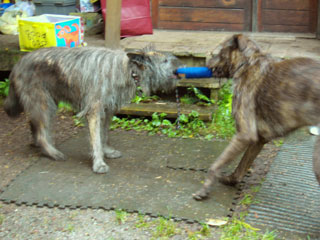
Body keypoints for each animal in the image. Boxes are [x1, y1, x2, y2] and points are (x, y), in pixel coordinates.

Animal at [5, 45, 181, 172]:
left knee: (34, 125)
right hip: (44, 104)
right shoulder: (94, 112)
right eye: (165, 61)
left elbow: (104, 135)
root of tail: (17, 64)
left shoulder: (107, 111)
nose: (181, 65)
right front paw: (99, 163)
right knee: (42, 133)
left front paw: (107, 151)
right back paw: (52, 152)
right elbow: (96, 139)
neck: (127, 69)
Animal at [194, 32, 320, 200]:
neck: (247, 63)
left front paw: (205, 188)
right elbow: (242, 166)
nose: (206, 63)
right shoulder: (259, 139)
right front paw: (230, 179)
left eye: (219, 51)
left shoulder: (244, 135)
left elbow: (217, 164)